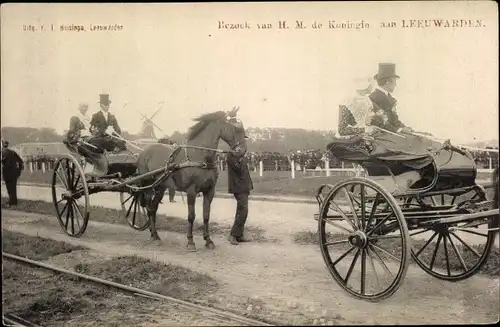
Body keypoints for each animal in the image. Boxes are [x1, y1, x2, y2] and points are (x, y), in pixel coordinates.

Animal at [136, 108, 247, 251]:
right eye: (234, 127)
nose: (242, 151)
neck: (201, 157)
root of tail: (143, 152)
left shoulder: (209, 191)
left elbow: (206, 215)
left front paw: (208, 240)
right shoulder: (191, 191)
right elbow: (191, 216)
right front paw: (190, 241)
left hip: (161, 187)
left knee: (153, 208)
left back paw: (154, 234)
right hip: (148, 186)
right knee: (150, 208)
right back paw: (154, 235)